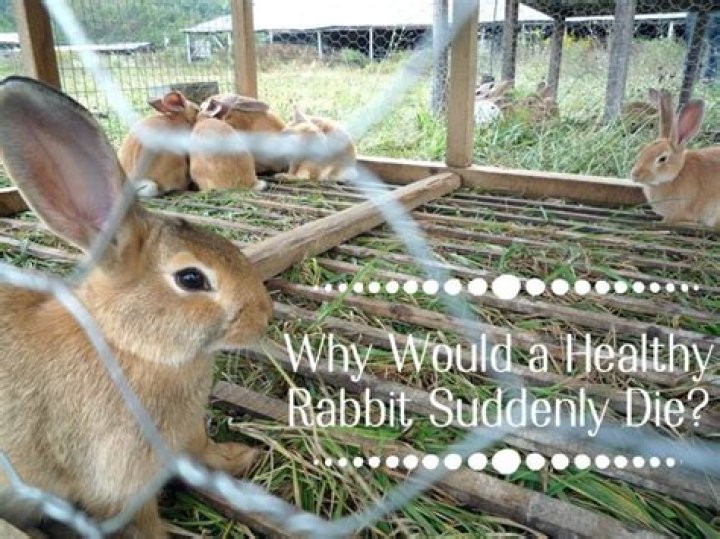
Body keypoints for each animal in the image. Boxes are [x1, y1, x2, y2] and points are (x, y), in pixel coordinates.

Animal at [0, 76, 272, 537]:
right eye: (191, 279)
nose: (265, 314)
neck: (128, 345)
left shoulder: (188, 435)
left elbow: (205, 451)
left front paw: (241, 457)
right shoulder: (120, 487)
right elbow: (144, 525)